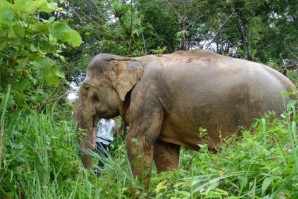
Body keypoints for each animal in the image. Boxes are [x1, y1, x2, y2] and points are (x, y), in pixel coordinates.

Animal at [75, 49, 296, 190]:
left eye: (86, 87)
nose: (92, 181)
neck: (129, 59)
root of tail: (290, 86)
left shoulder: (148, 95)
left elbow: (138, 142)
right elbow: (165, 151)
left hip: (269, 114)